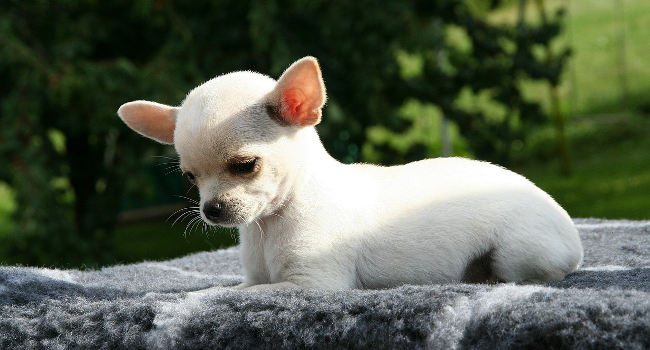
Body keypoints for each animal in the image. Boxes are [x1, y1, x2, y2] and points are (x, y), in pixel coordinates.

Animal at [116, 56, 584, 290]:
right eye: (190, 178)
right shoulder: (258, 275)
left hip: (518, 252)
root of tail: (570, 232)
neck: (270, 226)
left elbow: (233, 293)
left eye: (244, 166)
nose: (211, 210)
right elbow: (233, 287)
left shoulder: (311, 285)